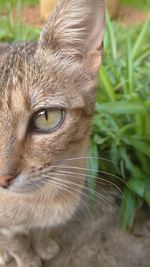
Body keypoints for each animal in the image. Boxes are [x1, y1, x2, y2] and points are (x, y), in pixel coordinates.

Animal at [0, 0, 105, 266]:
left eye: (46, 117)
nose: (2, 180)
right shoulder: (6, 229)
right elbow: (16, 242)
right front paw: (27, 259)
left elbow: (40, 232)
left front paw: (43, 245)